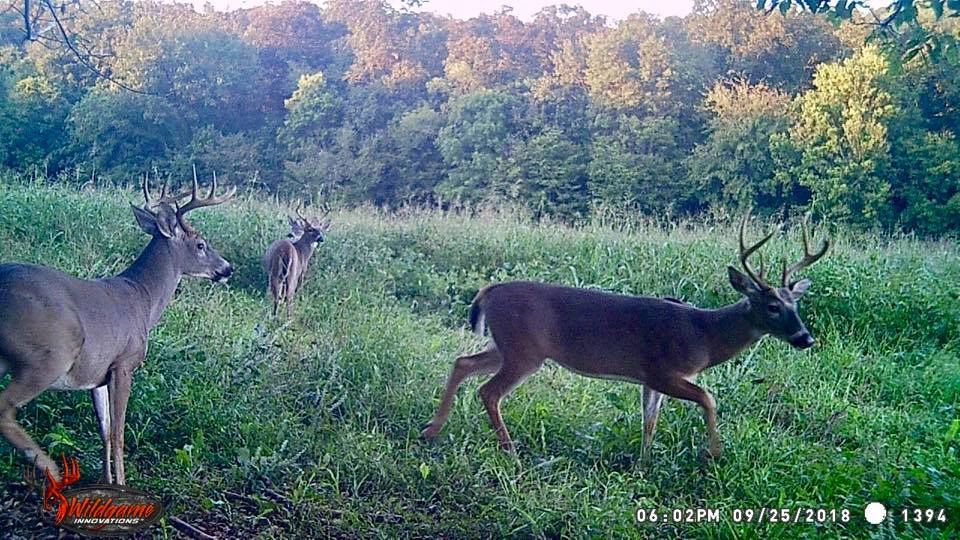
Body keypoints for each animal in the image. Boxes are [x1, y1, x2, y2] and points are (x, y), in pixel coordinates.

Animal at [0, 173, 236, 486]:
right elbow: (118, 432)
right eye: (200, 244)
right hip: (47, 355)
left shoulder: (98, 374)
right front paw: (123, 484)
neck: (143, 300)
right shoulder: (125, 363)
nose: (228, 268)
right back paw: (51, 468)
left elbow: (104, 430)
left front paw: (107, 481)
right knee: (4, 407)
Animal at [424, 213, 828, 462]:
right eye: (772, 306)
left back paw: (433, 429)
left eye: (796, 303)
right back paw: (509, 451)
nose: (805, 338)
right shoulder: (664, 370)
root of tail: (487, 291)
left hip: (504, 344)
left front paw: (642, 465)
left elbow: (649, 420)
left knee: (462, 363)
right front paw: (713, 453)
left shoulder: (650, 379)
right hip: (525, 351)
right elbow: (708, 398)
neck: (704, 335)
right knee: (488, 390)